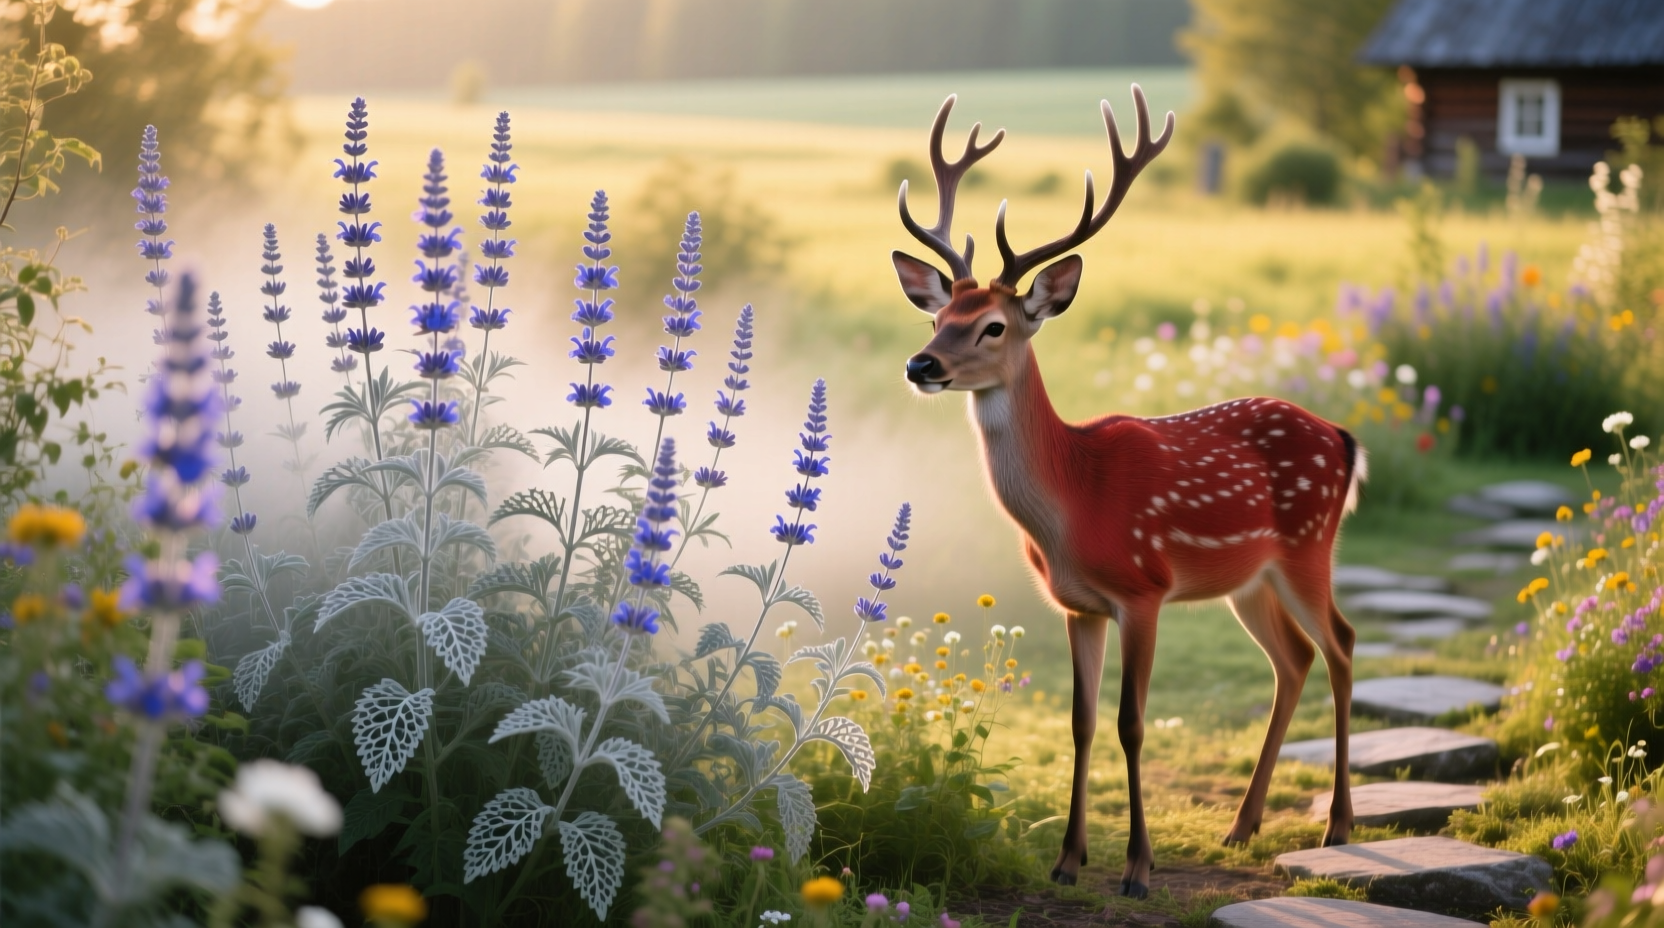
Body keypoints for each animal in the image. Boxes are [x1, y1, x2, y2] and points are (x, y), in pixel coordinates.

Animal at [890, 87, 1364, 898]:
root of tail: (1340, 436)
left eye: (992, 326)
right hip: (1251, 578)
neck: (1072, 504)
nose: (922, 365)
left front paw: (1139, 868)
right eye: (939, 315)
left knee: (1341, 643)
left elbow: (1130, 723)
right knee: (1294, 658)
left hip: (1309, 546)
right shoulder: (1078, 605)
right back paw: (1243, 824)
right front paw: (1067, 860)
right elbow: (1080, 722)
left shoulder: (1145, 590)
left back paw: (1337, 824)